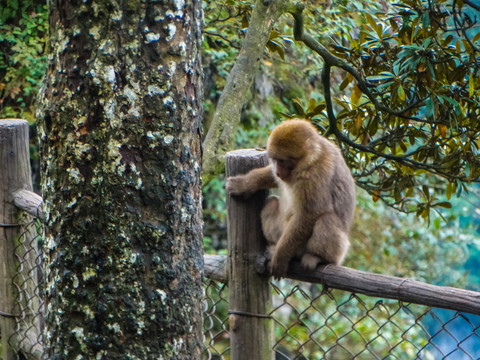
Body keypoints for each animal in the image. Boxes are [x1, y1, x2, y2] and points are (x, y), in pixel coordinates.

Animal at [226, 118, 356, 278]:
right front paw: (244, 185)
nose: (279, 171)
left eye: (283, 160)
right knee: (271, 203)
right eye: (275, 160)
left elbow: (310, 213)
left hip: (335, 251)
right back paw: (274, 247)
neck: (312, 156)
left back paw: (317, 257)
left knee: (327, 219)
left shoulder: (316, 173)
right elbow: (272, 177)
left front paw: (281, 257)